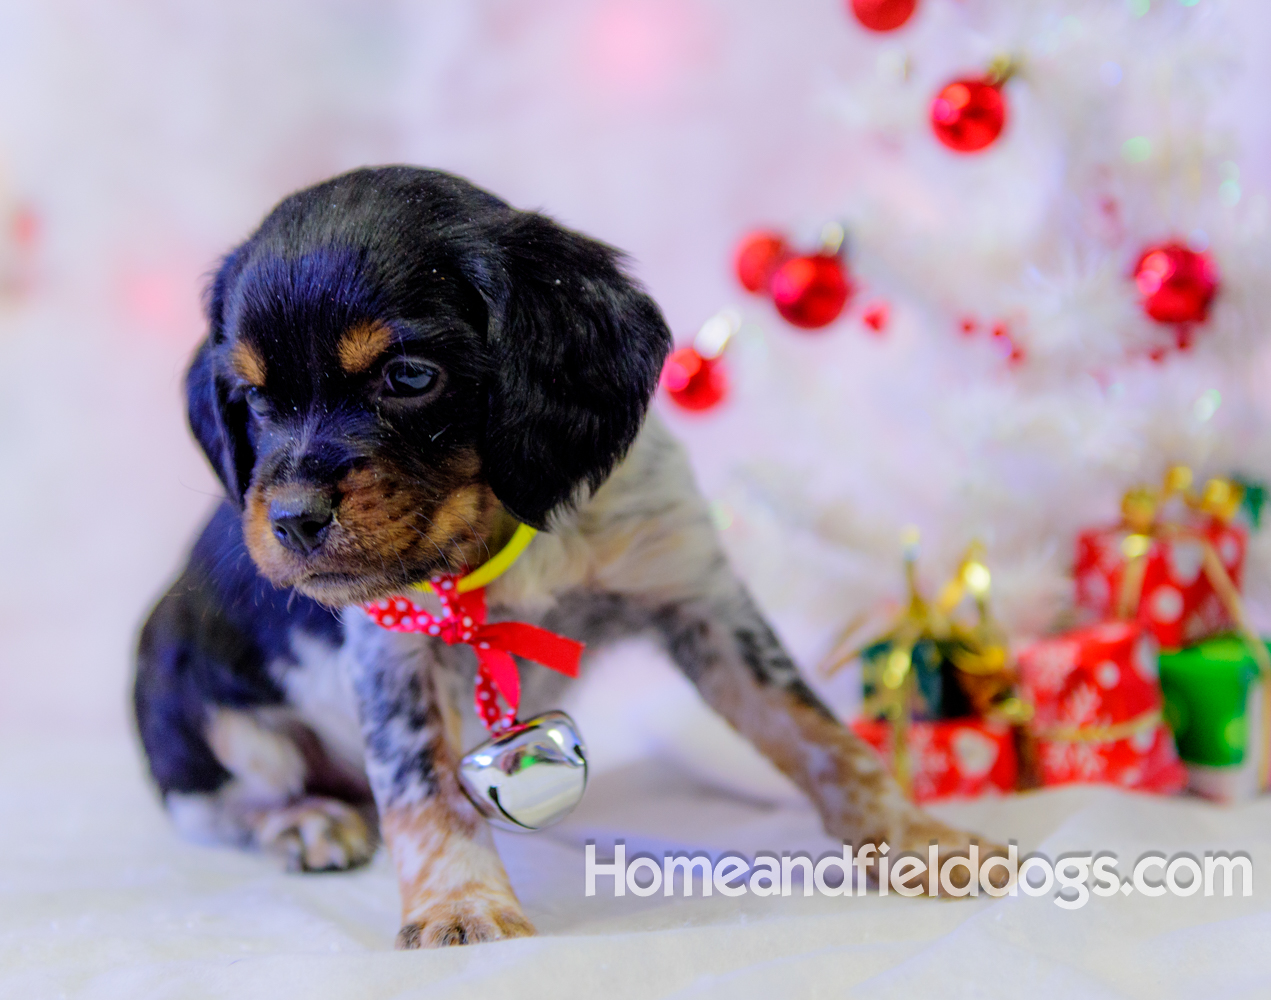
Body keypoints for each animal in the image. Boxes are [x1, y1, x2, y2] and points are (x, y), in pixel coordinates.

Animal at [139, 167, 986, 950]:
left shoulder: (698, 596)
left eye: (408, 376)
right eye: (251, 398)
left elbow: (816, 730)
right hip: (199, 706)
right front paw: (459, 907)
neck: (501, 536)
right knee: (216, 807)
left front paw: (919, 841)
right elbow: (423, 787)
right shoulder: (394, 654)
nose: (292, 521)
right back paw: (307, 821)